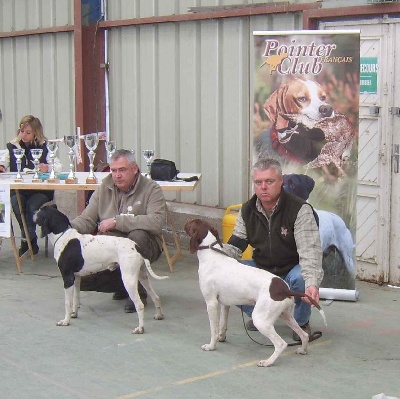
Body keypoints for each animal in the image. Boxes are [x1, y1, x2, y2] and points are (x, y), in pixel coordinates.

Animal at [32, 206, 167, 334]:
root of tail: (136, 246)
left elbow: (67, 303)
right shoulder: (76, 278)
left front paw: (66, 321)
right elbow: (76, 299)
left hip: (128, 279)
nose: (33, 212)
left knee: (139, 304)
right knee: (156, 297)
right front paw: (74, 314)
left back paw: (140, 328)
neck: (62, 236)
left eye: (40, 211)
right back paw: (159, 315)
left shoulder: (68, 278)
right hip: (142, 276)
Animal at [183, 219, 326, 368]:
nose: (185, 222)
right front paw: (221, 338)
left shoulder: (211, 303)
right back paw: (302, 350)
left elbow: (213, 329)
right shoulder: (224, 304)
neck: (211, 254)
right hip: (286, 316)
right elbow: (222, 325)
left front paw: (211, 346)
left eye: (191, 223)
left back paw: (268, 362)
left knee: (281, 344)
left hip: (261, 320)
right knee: (304, 335)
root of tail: (285, 289)